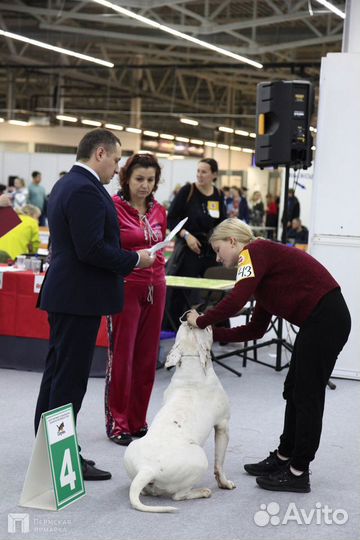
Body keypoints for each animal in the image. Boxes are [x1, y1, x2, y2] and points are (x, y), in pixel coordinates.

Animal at [124, 322, 236, 512]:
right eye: (207, 329)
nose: (188, 319)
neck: (192, 363)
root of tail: (147, 468)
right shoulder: (223, 426)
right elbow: (219, 463)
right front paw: (225, 483)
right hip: (199, 460)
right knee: (179, 496)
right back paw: (202, 492)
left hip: (132, 451)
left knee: (147, 490)